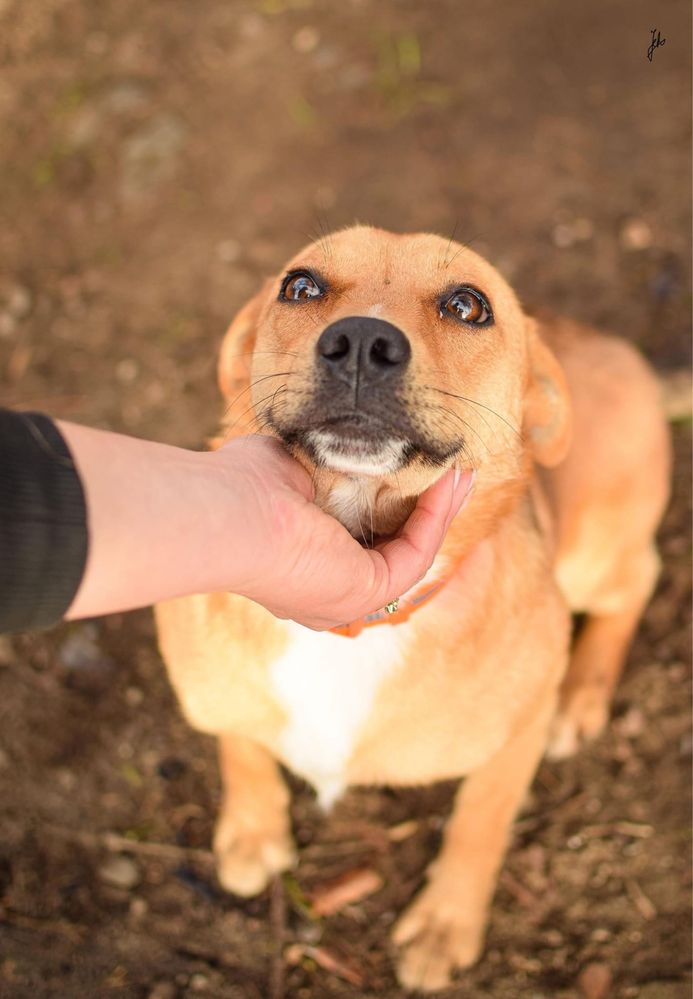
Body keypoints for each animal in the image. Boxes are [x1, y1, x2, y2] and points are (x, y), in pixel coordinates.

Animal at [154, 225, 668, 992]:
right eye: (300, 286)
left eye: (467, 305)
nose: (361, 340)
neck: (353, 632)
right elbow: (238, 741)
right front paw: (253, 829)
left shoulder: (513, 739)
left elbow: (479, 821)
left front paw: (445, 923)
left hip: (594, 559)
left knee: (640, 580)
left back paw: (581, 696)